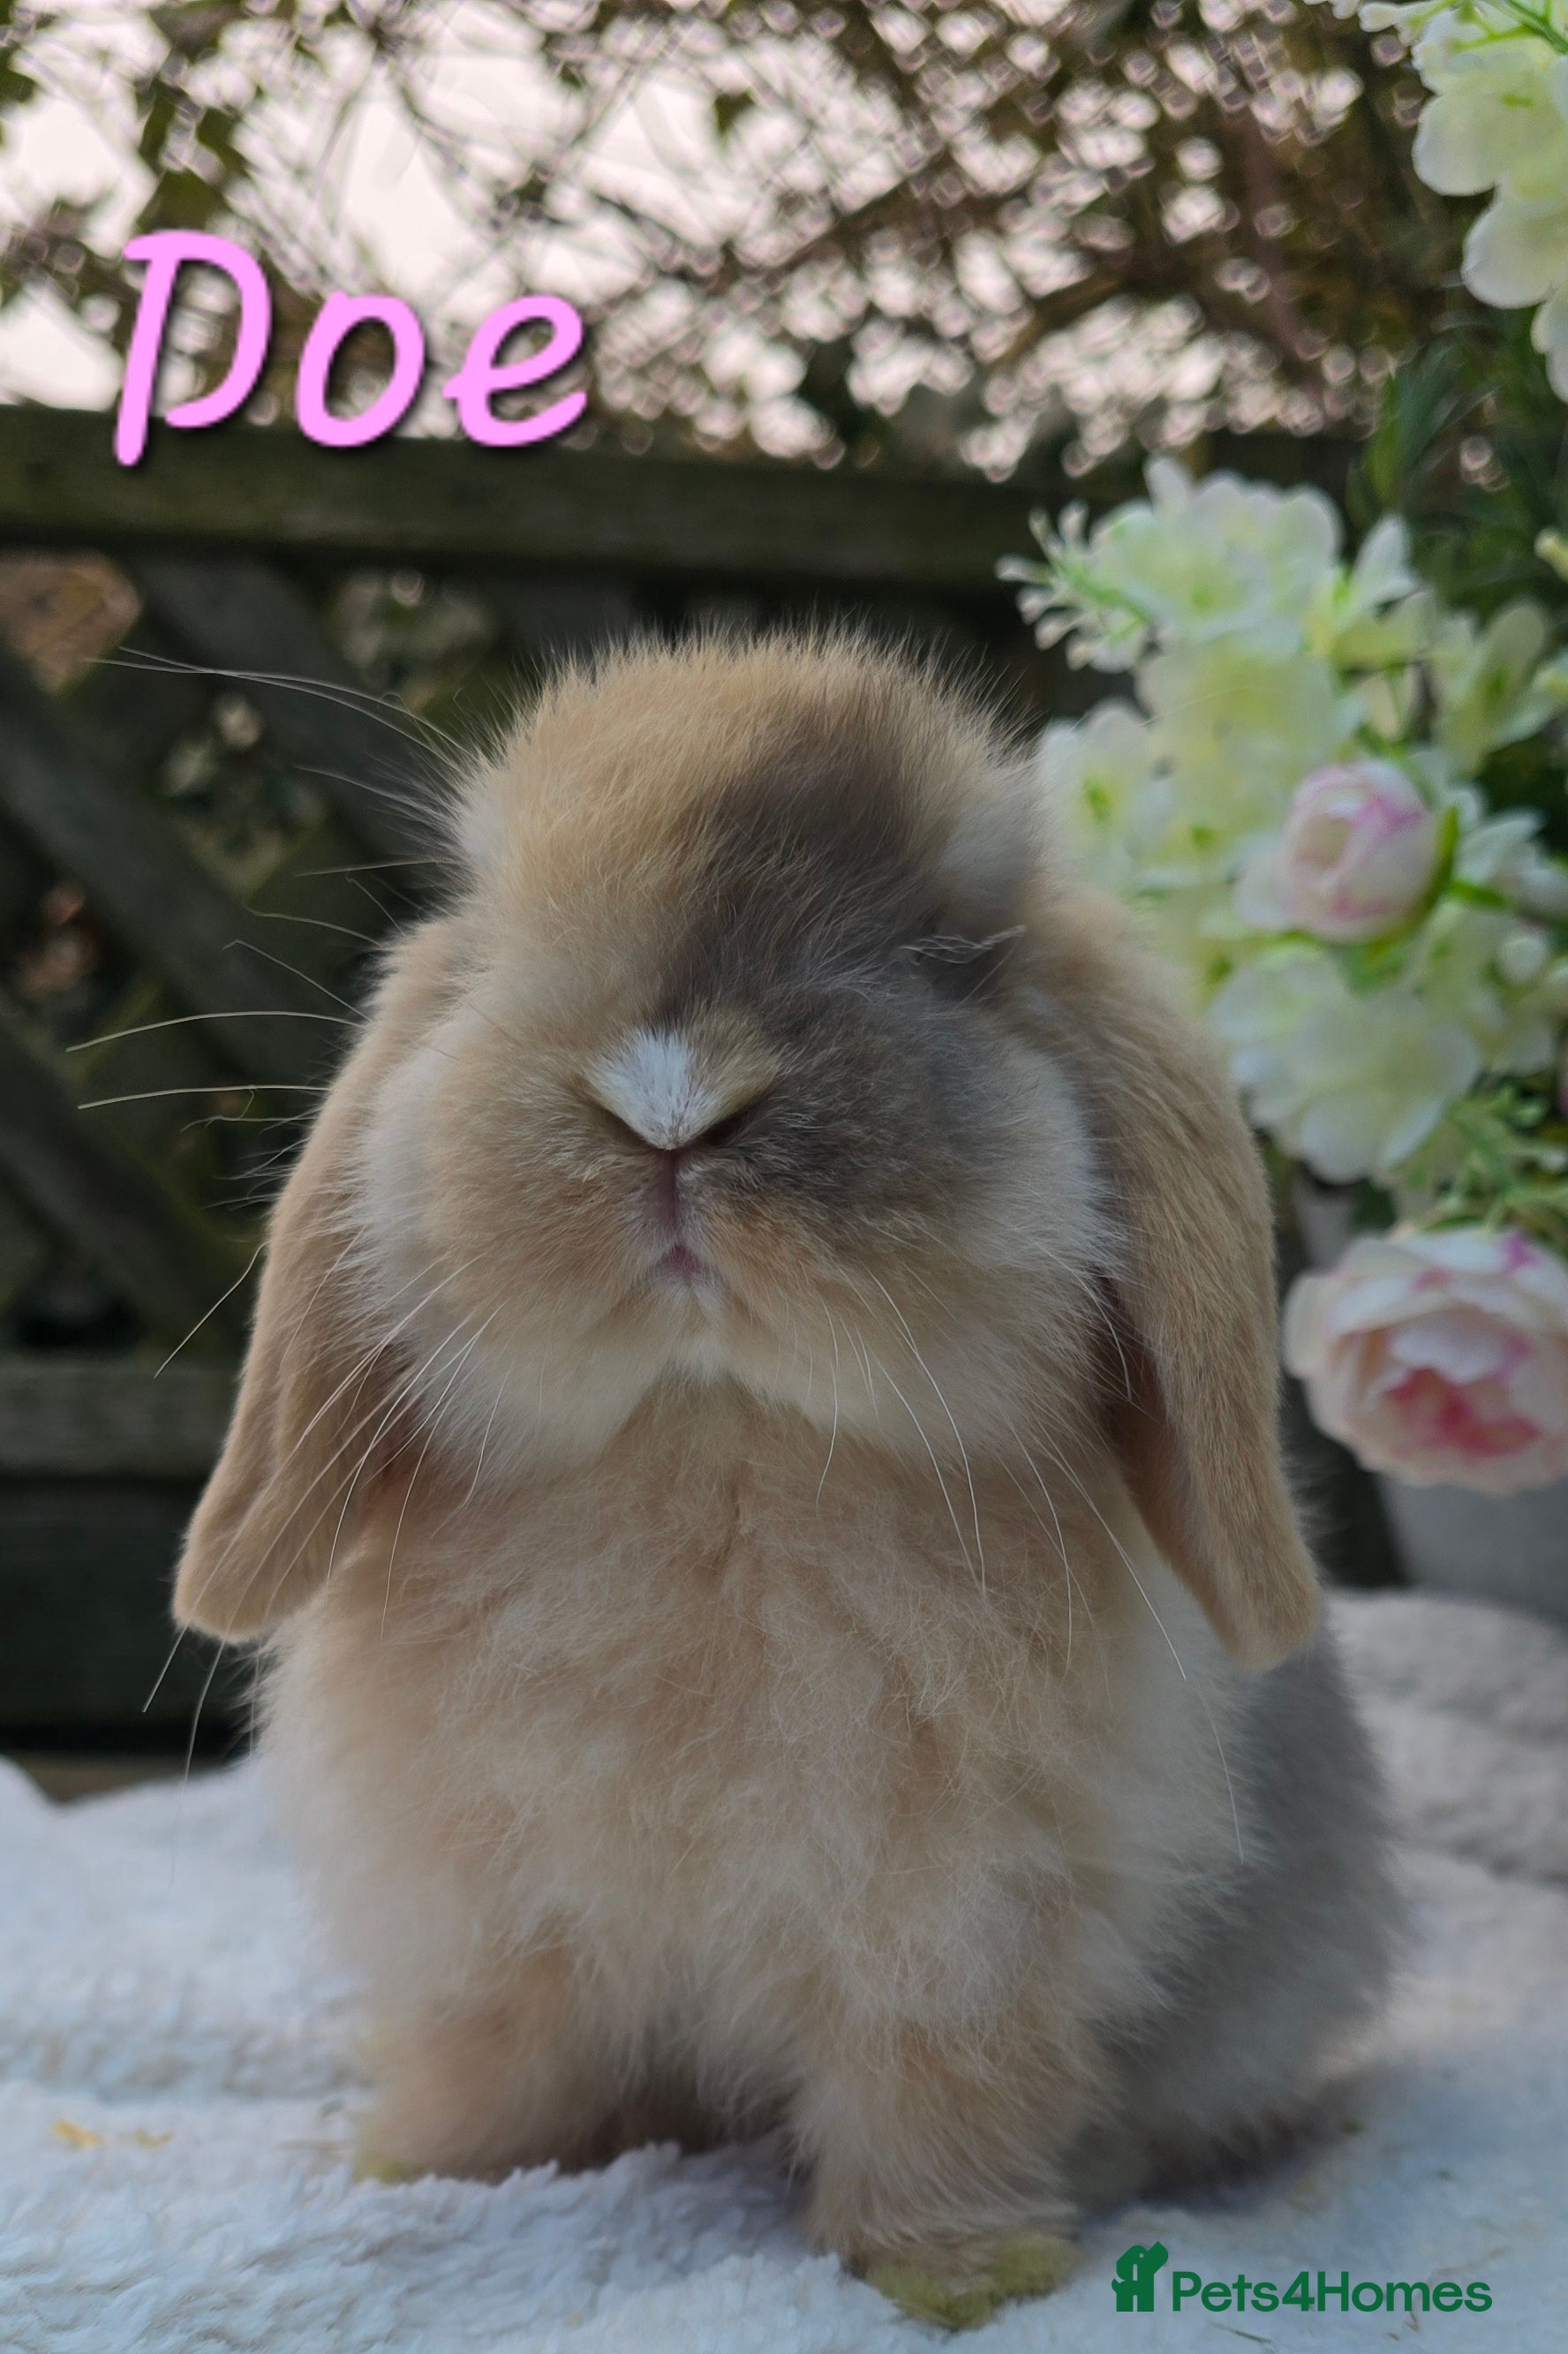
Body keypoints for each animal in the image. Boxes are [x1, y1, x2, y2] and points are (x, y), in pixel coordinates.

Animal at [174, 635, 1396, 2330]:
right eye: (497, 925)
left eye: (950, 950)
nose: (668, 1100)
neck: (717, 1454)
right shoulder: (490, 1926)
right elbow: (498, 2064)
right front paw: (421, 2171)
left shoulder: (965, 1939)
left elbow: (936, 2102)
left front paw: (958, 2276)